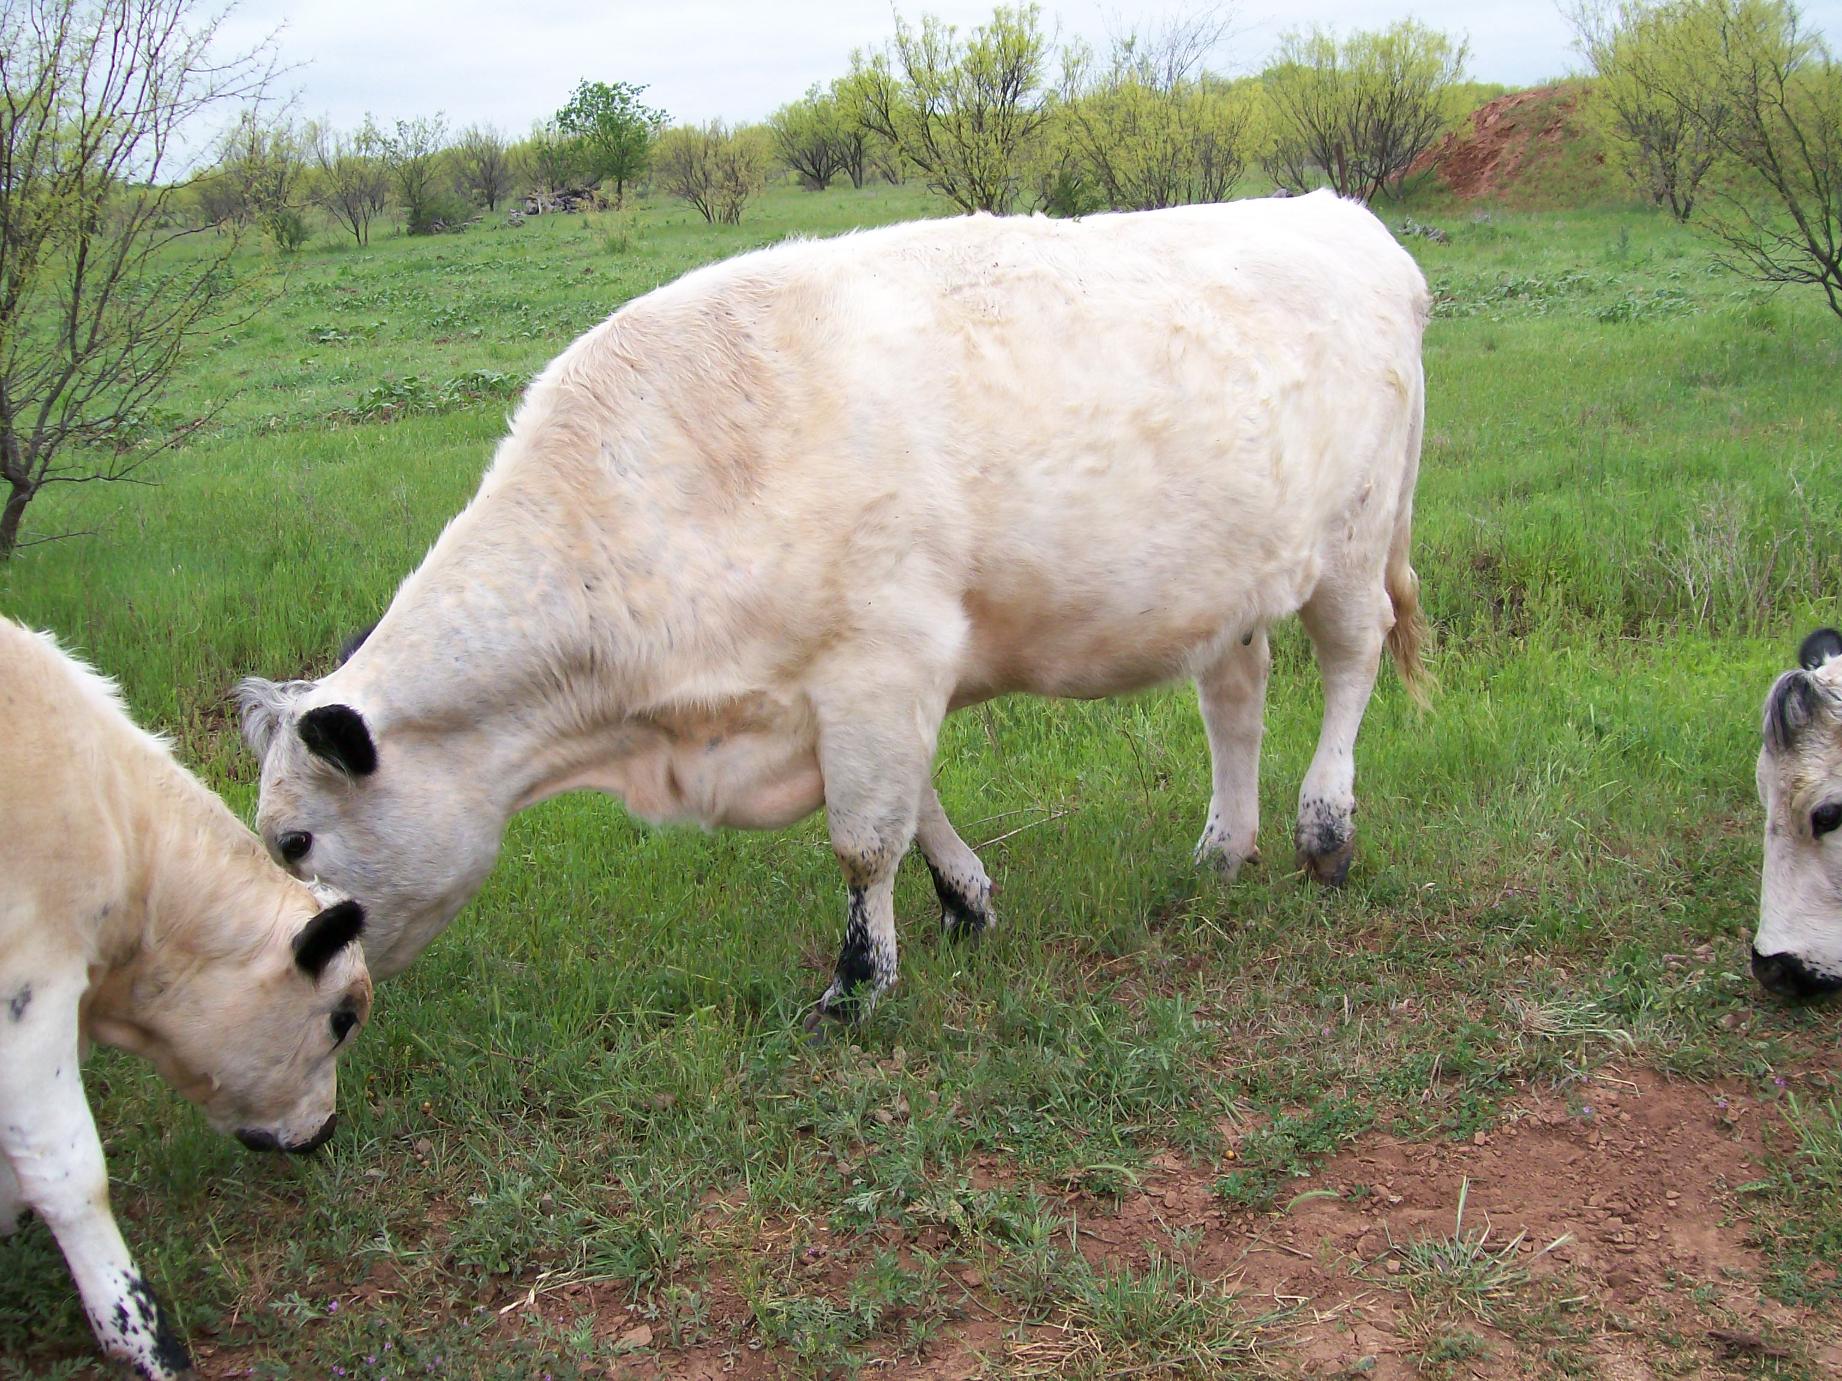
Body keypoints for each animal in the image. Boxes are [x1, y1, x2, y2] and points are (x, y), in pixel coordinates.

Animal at [236, 191, 1430, 1028]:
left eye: (295, 838)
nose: (316, 991)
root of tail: (1344, 215)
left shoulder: (882, 658)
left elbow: (864, 839)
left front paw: (859, 982)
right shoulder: (862, 683)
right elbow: (917, 804)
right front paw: (966, 902)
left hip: (1352, 543)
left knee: (1349, 665)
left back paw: (1325, 830)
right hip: (1232, 582)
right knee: (1237, 695)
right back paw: (1225, 845)